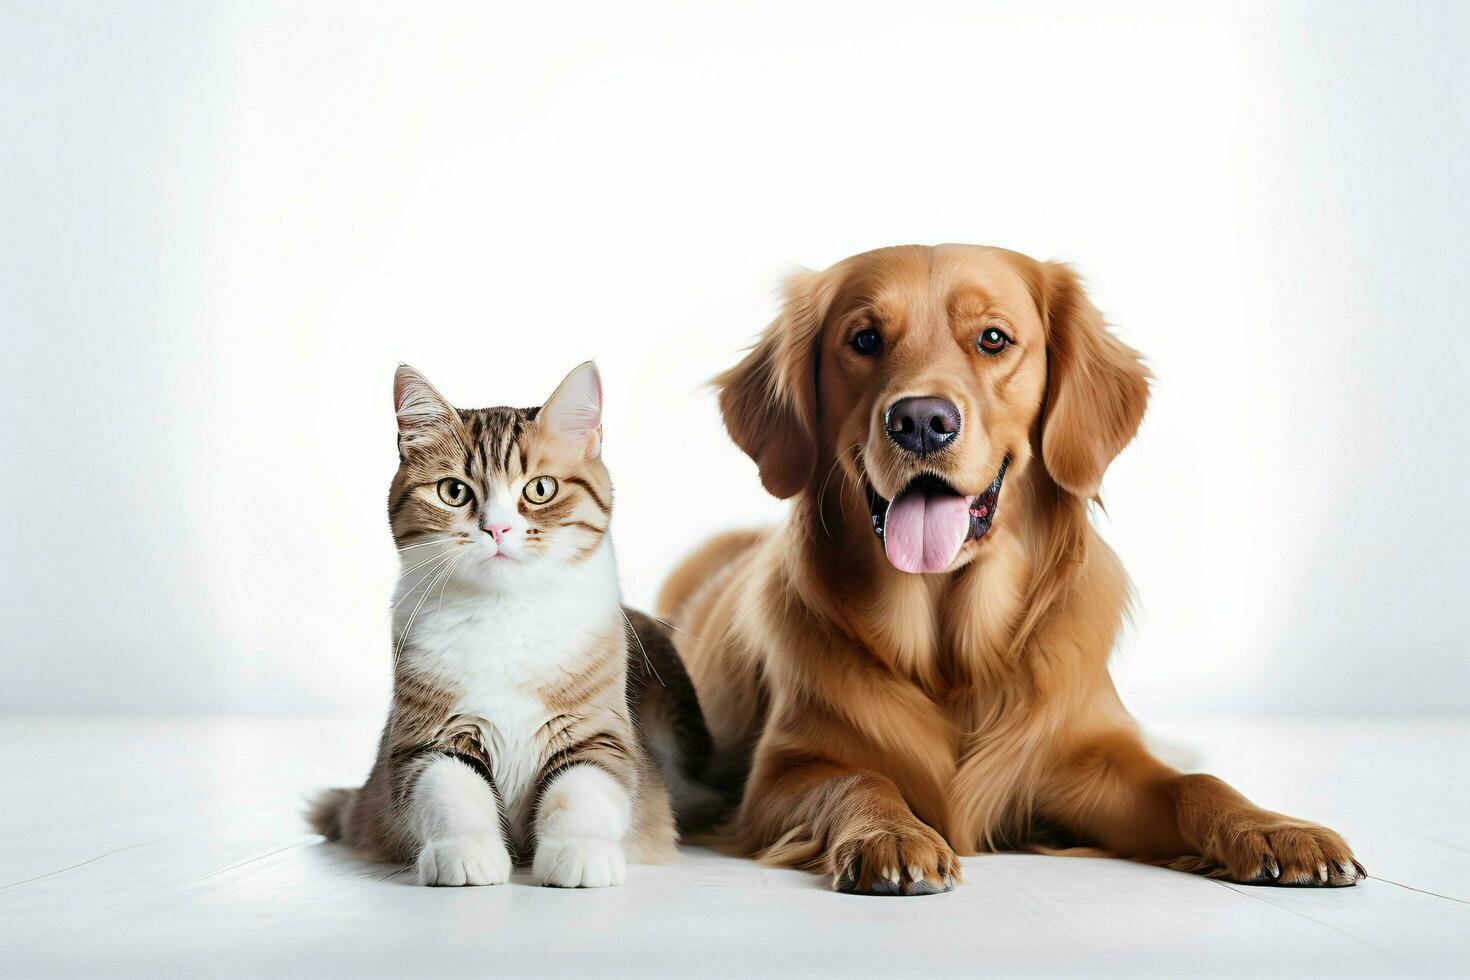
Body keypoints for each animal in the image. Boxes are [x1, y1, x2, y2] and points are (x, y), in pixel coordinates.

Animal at [304, 362, 705, 887]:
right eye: (454, 492)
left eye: (540, 488)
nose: (497, 529)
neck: (504, 613)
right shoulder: (428, 741)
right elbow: (452, 793)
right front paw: (465, 853)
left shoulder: (598, 735)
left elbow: (581, 794)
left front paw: (580, 853)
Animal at [658, 243, 1364, 899]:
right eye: (864, 340)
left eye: (992, 339)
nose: (921, 421)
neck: (952, 653)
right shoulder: (778, 777)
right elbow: (860, 778)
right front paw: (890, 834)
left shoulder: (1088, 765)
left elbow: (1195, 782)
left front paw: (1274, 830)